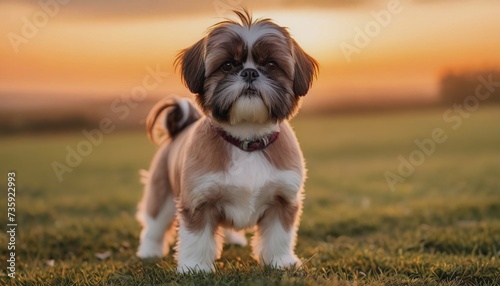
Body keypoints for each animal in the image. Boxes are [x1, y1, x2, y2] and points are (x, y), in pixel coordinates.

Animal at [135, 9, 318, 272]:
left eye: (271, 64)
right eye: (228, 65)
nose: (249, 72)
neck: (247, 143)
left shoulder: (282, 199)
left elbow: (278, 236)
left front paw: (281, 262)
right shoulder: (198, 200)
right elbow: (198, 238)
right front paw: (196, 268)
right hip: (162, 195)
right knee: (154, 226)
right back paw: (149, 251)